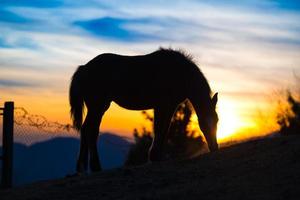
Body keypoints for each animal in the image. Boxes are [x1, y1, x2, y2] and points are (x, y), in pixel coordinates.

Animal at [69, 47, 219, 173]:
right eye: (203, 123)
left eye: (217, 120)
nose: (214, 148)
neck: (179, 72)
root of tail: (84, 68)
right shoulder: (162, 106)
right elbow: (159, 129)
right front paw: (153, 156)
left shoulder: (169, 106)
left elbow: (164, 129)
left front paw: (156, 156)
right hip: (97, 106)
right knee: (91, 131)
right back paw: (96, 167)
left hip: (98, 108)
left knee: (85, 129)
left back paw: (81, 168)